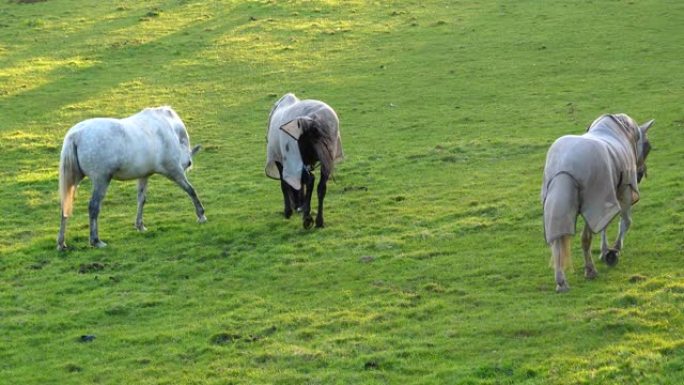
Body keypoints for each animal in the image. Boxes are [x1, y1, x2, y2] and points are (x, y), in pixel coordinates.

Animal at [56, 106, 206, 249]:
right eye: (188, 164)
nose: (188, 164)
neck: (168, 127)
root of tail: (76, 134)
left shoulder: (144, 176)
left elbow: (141, 200)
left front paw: (140, 225)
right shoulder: (174, 171)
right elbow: (191, 190)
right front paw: (201, 215)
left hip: (74, 181)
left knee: (65, 207)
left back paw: (61, 243)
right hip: (101, 180)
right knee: (93, 206)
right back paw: (95, 241)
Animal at [266, 92, 344, 228]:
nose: (296, 206)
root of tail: (312, 120)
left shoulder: (281, 161)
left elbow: (284, 184)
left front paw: (288, 211)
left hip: (296, 158)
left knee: (310, 180)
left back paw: (307, 218)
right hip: (326, 159)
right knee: (321, 187)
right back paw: (319, 221)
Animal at [544, 113, 656, 292]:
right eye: (648, 147)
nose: (640, 174)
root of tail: (566, 167)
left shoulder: (608, 195)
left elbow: (605, 225)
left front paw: (605, 251)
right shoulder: (622, 191)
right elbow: (625, 222)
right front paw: (614, 251)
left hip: (558, 207)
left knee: (557, 242)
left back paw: (561, 282)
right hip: (593, 201)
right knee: (585, 238)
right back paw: (590, 271)